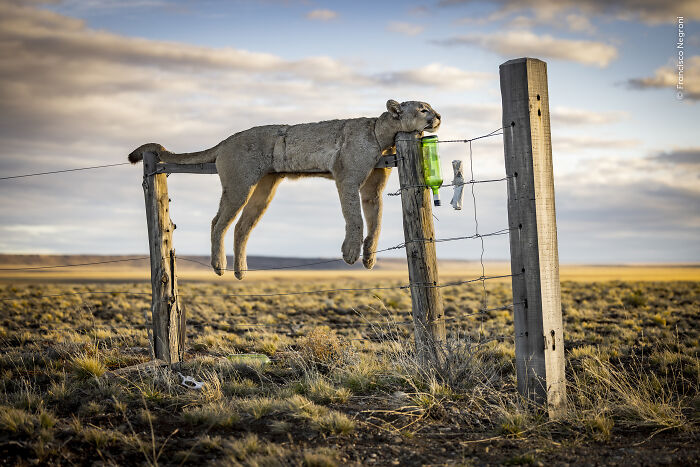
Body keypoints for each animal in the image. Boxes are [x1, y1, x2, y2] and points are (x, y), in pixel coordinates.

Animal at [128, 99, 441, 279]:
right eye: (423, 109)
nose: (439, 116)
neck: (383, 135)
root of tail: (227, 139)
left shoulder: (372, 189)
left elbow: (375, 222)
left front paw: (370, 257)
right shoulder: (347, 178)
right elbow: (355, 218)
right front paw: (351, 253)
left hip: (264, 190)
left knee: (241, 227)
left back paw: (241, 270)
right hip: (240, 184)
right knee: (218, 222)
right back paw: (219, 265)